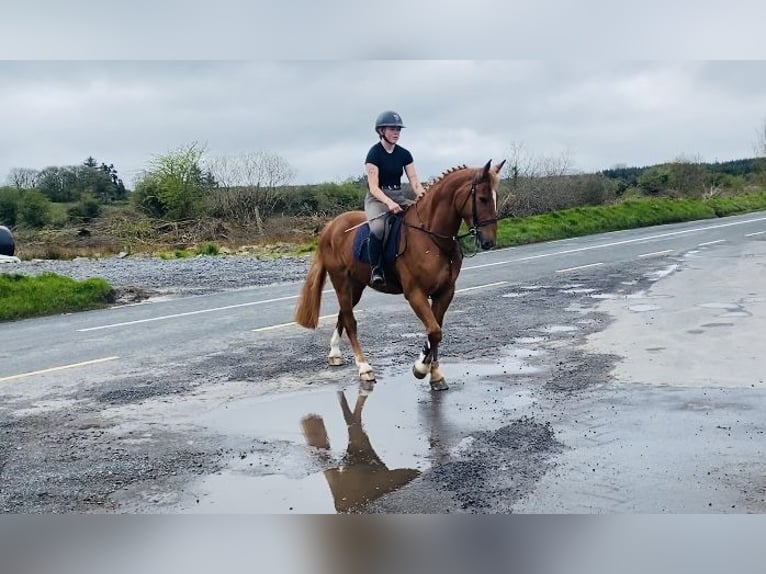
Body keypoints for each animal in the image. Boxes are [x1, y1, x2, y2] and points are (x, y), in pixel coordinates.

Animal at [292, 160, 504, 392]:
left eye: (496, 198)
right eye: (482, 198)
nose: (489, 242)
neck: (432, 238)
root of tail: (331, 227)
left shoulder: (445, 292)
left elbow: (436, 332)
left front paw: (435, 375)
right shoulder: (415, 294)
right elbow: (434, 331)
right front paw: (420, 368)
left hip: (356, 286)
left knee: (342, 315)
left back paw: (335, 353)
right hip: (341, 282)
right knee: (350, 321)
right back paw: (364, 368)